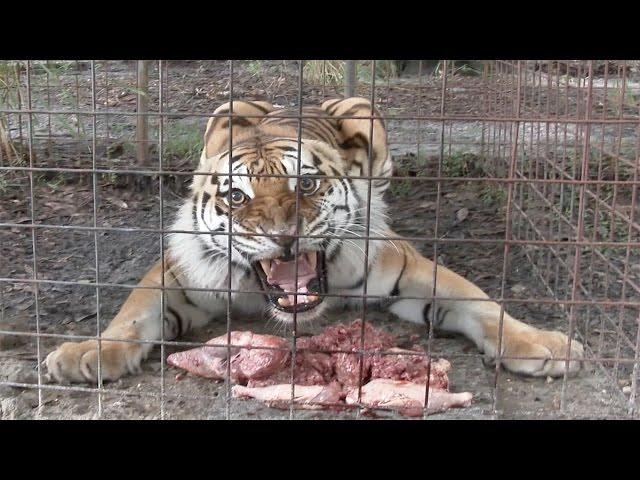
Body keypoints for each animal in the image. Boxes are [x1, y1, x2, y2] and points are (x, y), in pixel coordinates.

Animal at [45, 96, 584, 382]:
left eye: (304, 184)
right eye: (236, 196)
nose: (283, 236)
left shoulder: (408, 266)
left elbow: (483, 303)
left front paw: (546, 345)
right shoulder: (177, 274)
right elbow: (132, 314)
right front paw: (85, 354)